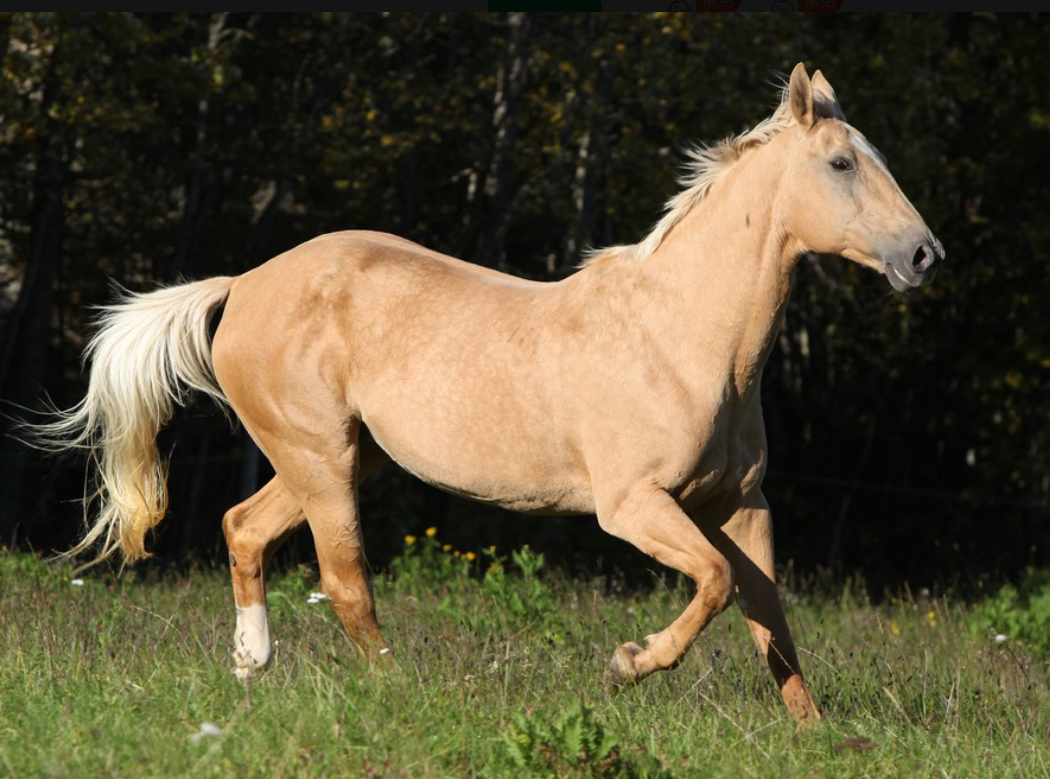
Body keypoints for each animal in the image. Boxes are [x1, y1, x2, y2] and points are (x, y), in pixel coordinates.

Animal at [40, 64, 944, 722]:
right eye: (840, 162)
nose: (925, 255)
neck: (686, 338)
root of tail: (243, 286)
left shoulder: (741, 503)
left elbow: (768, 613)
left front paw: (815, 734)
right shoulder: (635, 505)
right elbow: (718, 585)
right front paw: (627, 664)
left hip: (337, 459)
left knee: (244, 528)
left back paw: (249, 666)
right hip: (319, 459)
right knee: (344, 579)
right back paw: (398, 693)